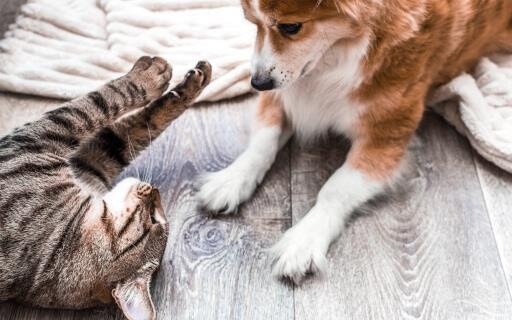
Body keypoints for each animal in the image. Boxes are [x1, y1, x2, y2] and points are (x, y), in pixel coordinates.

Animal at [0, 56, 212, 318]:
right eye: (155, 217)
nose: (157, 190)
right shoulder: (91, 162)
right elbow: (134, 126)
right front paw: (191, 84)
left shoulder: (41, 139)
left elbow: (100, 103)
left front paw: (150, 74)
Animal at [196, 0, 512, 282]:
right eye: (253, 23)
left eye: (291, 27)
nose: (257, 83)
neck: (340, 54)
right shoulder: (285, 95)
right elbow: (262, 143)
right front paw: (231, 180)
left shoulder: (386, 134)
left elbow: (337, 188)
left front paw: (305, 239)